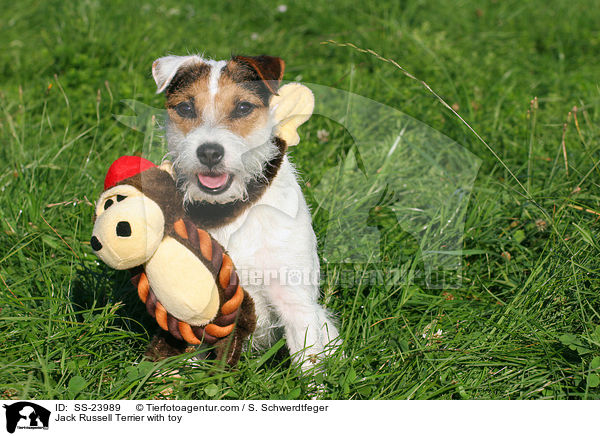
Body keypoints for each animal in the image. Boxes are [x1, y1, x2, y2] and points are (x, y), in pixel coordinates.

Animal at [148, 52, 340, 370]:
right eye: (186, 107)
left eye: (243, 107)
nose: (209, 152)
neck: (228, 210)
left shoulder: (296, 302)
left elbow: (309, 366)